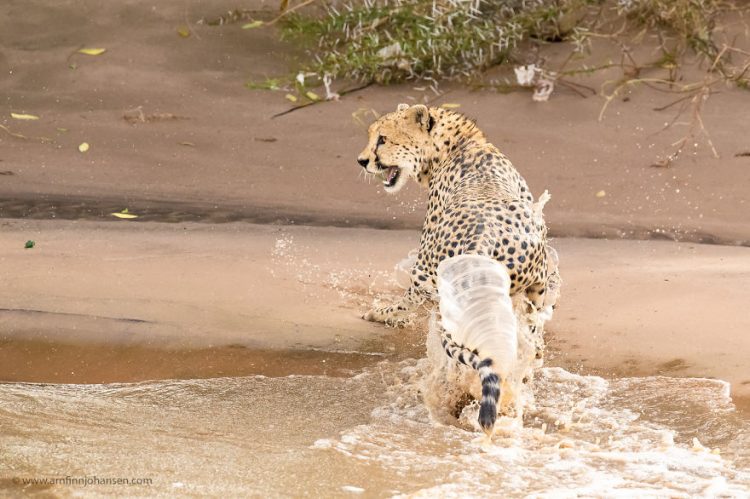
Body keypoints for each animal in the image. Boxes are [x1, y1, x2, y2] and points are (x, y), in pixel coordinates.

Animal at [360, 103, 564, 436]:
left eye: (383, 139)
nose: (362, 160)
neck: (461, 143)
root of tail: (484, 240)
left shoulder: (423, 272)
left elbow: (404, 302)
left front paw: (381, 313)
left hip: (432, 276)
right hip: (531, 288)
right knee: (527, 344)